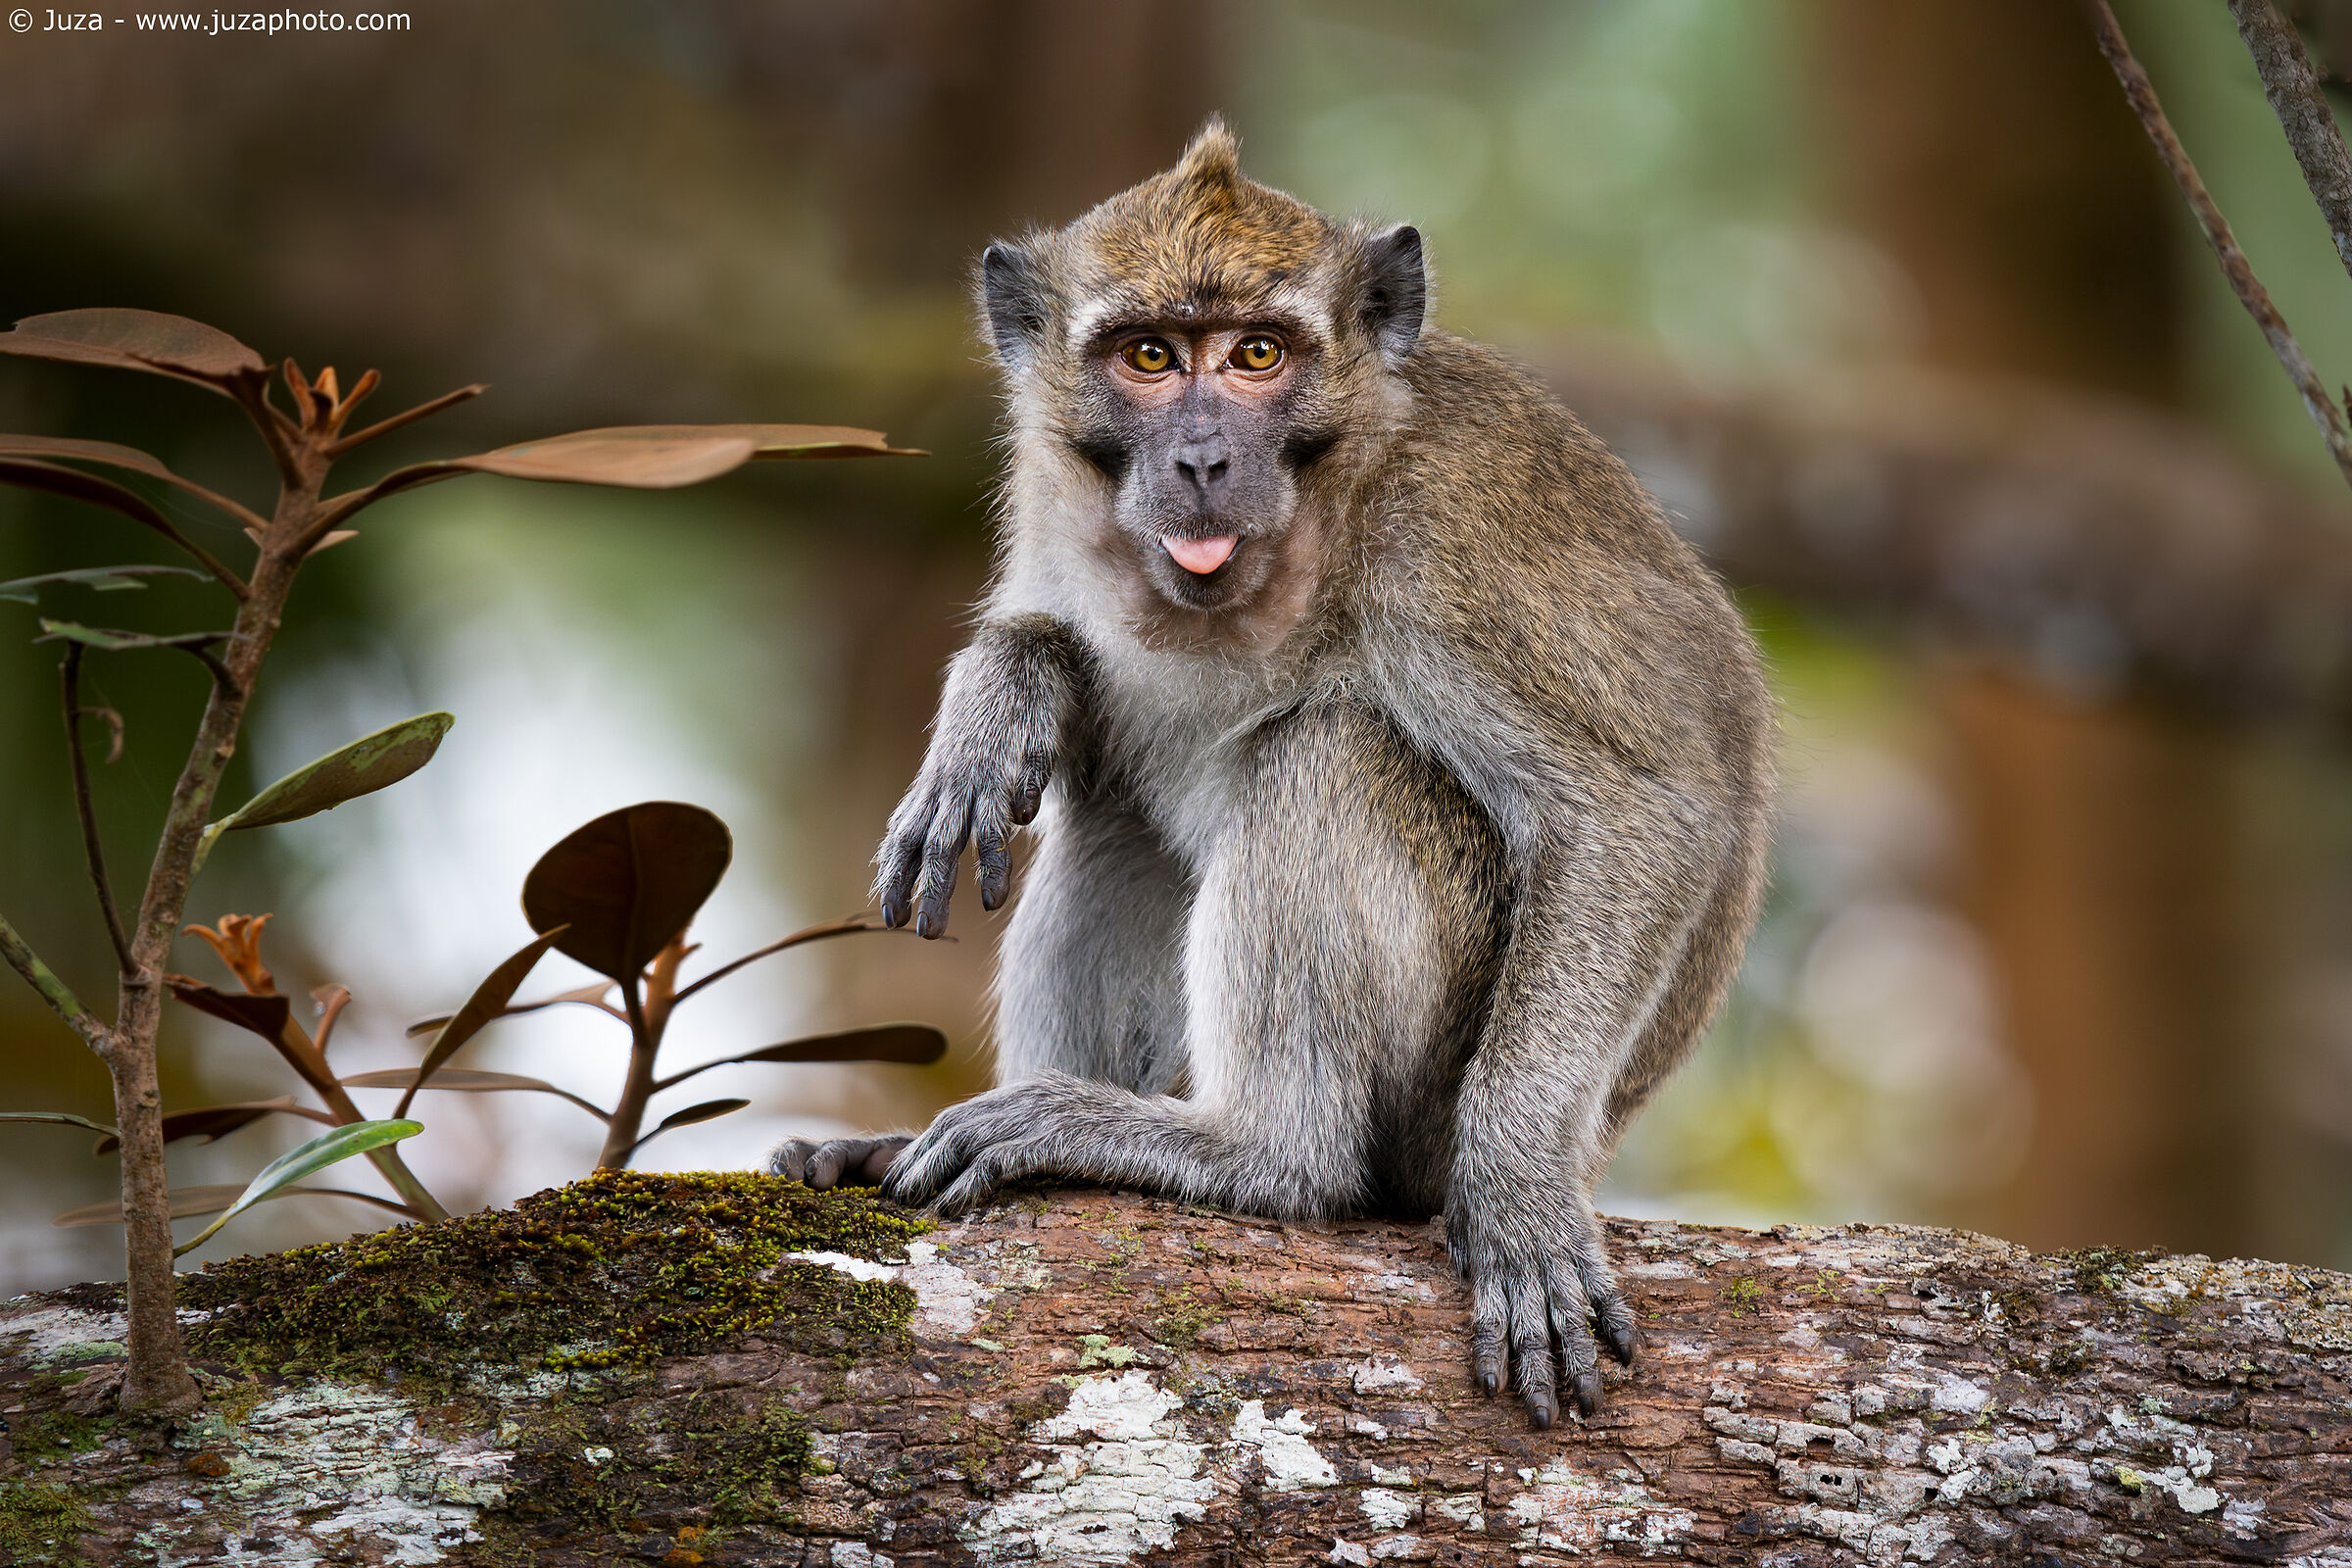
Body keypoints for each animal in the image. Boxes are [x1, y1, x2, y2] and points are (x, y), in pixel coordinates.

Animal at [767, 118, 1775, 1428]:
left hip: (1422, 1120)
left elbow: (1640, 813)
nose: (1201, 459)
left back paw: (1260, 1152)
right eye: (1149, 355)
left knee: (1331, 749)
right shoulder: (1049, 483)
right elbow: (1078, 695)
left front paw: (1517, 1186)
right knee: (1118, 821)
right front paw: (1006, 688)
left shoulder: (1446, 542)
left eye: (1257, 355)